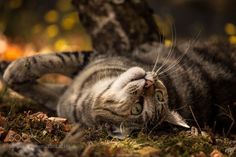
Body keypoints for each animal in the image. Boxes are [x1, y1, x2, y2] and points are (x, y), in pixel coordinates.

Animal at [0, 40, 235, 139]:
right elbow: (54, 61)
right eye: (159, 95)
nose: (149, 83)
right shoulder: (89, 59)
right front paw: (13, 70)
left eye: (137, 108)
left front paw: (12, 71)